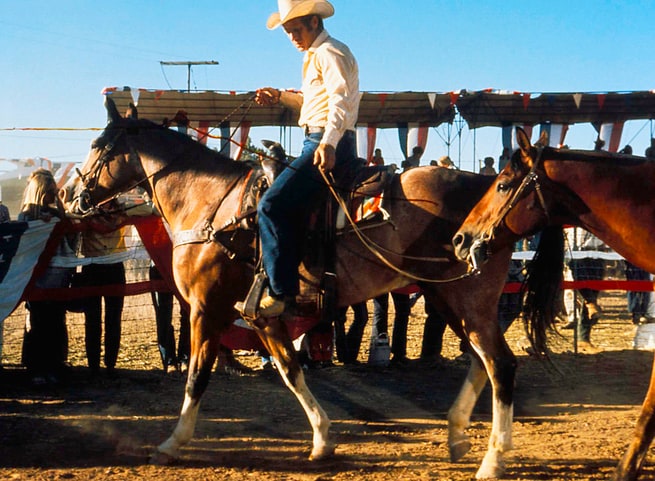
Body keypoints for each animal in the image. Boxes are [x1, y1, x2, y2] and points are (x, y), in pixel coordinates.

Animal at [61, 96, 516, 476]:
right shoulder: (261, 317)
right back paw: (457, 436)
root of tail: (486, 192)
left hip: (467, 299)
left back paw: (493, 458)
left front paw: (173, 442)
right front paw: (322, 439)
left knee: (500, 364)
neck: (210, 204)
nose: (69, 194)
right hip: (447, 297)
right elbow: (291, 370)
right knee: (481, 362)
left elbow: (197, 377)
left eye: (99, 145)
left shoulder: (205, 309)